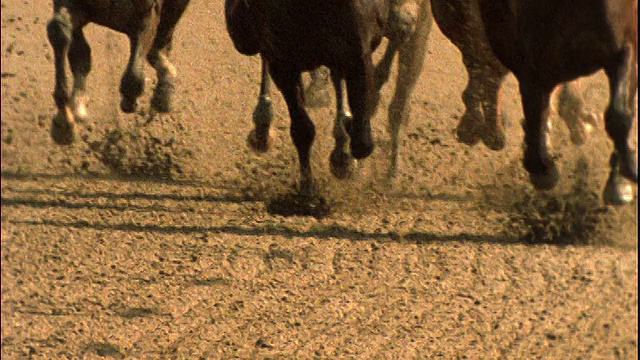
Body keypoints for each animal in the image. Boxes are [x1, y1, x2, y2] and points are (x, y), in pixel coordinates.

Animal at [225, 0, 388, 197]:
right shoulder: (282, 62)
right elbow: (302, 129)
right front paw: (307, 188)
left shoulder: (358, 54)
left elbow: (362, 140)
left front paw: (343, 157)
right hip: (247, 40)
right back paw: (262, 128)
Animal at [472, 0, 636, 204]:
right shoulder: (531, 66)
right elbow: (535, 116)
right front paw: (543, 170)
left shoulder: (624, 46)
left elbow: (619, 114)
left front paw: (622, 180)